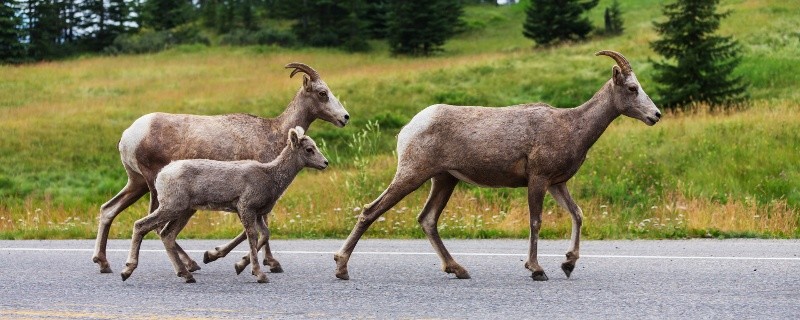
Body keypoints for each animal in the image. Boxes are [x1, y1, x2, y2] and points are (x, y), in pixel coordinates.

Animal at [120, 127, 326, 282]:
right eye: (309, 149)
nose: (325, 163)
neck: (271, 177)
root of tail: (162, 175)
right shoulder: (246, 208)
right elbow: (252, 236)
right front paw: (259, 274)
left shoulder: (257, 213)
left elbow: (264, 234)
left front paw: (238, 265)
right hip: (171, 207)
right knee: (141, 225)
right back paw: (126, 271)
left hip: (184, 211)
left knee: (167, 235)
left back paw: (186, 275)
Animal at [332, 50, 664, 280]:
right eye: (632, 88)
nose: (656, 115)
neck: (573, 127)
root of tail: (409, 128)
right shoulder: (539, 179)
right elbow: (535, 222)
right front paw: (537, 269)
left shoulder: (557, 183)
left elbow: (578, 215)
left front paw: (568, 264)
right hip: (413, 173)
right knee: (371, 211)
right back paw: (341, 268)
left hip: (444, 179)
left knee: (427, 219)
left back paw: (458, 269)